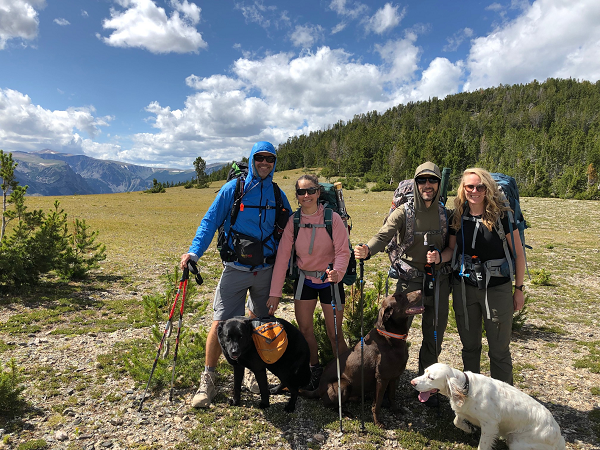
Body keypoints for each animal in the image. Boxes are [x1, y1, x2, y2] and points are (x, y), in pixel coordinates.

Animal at [300, 290, 422, 428]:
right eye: (401, 296)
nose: (420, 291)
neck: (391, 337)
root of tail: (318, 389)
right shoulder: (382, 378)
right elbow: (377, 403)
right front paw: (377, 422)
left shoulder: (394, 377)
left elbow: (392, 396)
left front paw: (395, 411)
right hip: (343, 385)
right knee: (331, 405)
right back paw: (346, 413)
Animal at [410, 362, 564, 450]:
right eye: (424, 372)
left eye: (431, 378)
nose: (412, 382)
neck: (467, 388)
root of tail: (558, 437)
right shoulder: (463, 412)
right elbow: (457, 421)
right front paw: (469, 429)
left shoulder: (490, 424)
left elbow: (483, 444)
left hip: (517, 441)